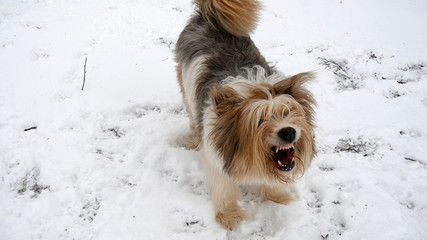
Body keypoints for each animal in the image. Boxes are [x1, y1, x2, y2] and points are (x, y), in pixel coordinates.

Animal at [175, 0, 318, 229]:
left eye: (288, 112)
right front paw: (230, 216)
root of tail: (207, 17)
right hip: (185, 89)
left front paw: (278, 197)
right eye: (260, 120)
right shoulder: (216, 155)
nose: (288, 131)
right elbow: (223, 188)